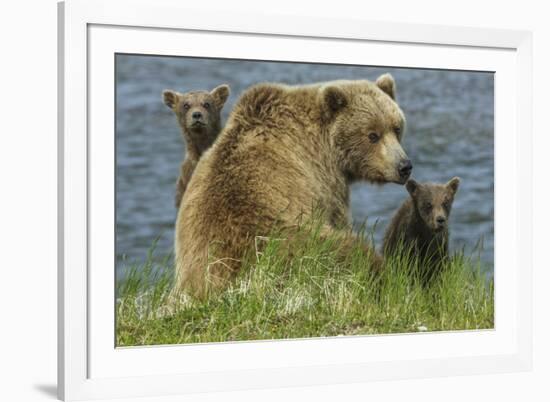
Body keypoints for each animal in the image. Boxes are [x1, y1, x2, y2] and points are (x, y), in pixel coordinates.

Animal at [175, 74, 412, 296]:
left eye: (396, 128)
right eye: (372, 135)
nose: (404, 166)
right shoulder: (324, 181)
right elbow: (339, 218)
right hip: (293, 246)